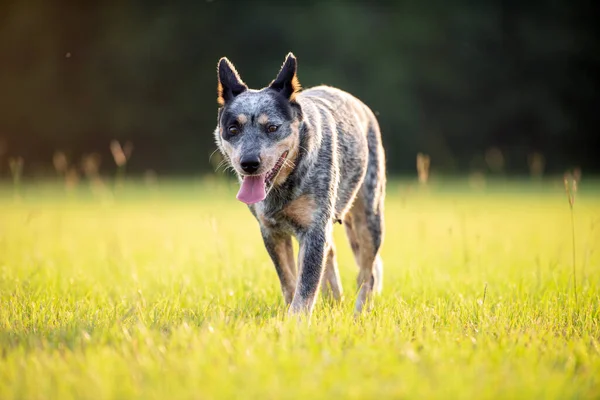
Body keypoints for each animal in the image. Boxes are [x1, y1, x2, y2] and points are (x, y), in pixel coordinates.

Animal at [213, 53, 386, 318]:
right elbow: (289, 282)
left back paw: (359, 312)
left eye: (272, 127)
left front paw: (296, 322)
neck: (284, 187)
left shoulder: (314, 229)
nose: (249, 163)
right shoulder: (271, 231)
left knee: (368, 273)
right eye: (233, 128)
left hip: (368, 217)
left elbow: (306, 286)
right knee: (333, 255)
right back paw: (334, 302)